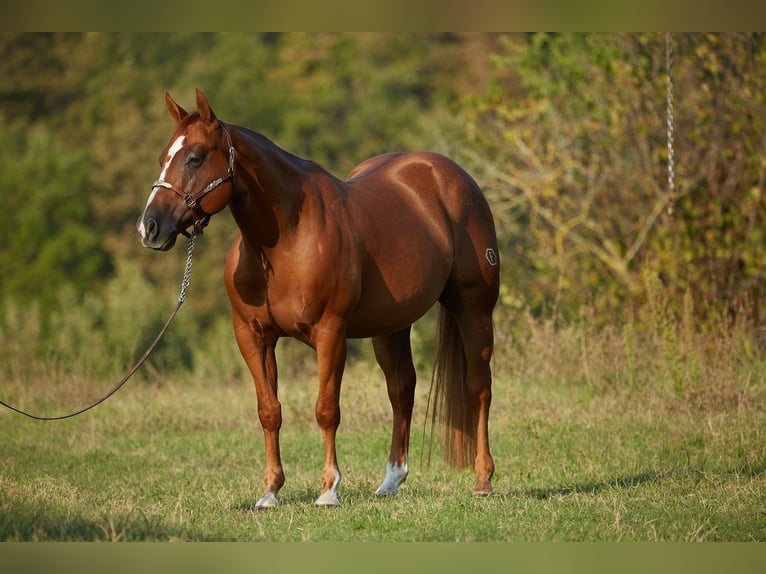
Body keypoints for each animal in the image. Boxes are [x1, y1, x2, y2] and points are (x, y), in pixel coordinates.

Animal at [137, 89, 500, 508]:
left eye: (195, 156)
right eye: (163, 157)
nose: (149, 227)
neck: (284, 240)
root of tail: (453, 177)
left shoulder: (330, 333)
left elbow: (326, 409)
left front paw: (329, 489)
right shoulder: (253, 336)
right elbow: (269, 410)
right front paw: (270, 491)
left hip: (474, 310)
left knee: (478, 387)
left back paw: (483, 480)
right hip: (390, 326)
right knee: (401, 390)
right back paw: (391, 481)